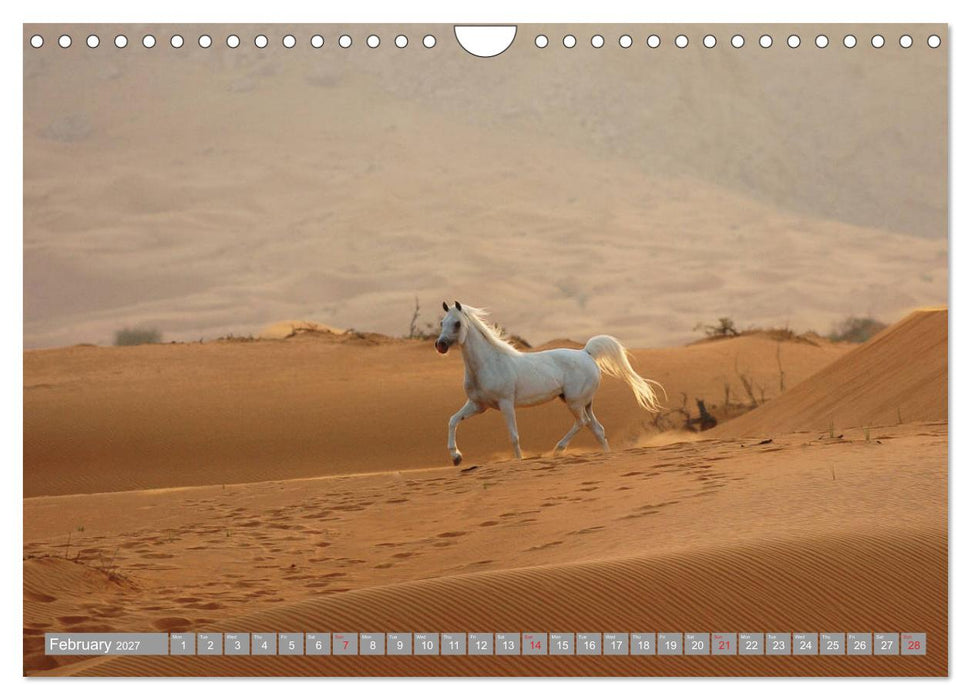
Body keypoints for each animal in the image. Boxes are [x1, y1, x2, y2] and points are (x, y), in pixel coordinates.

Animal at [434, 301, 665, 465]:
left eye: (457, 323)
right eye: (442, 323)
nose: (440, 345)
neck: (488, 363)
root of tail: (586, 353)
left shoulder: (506, 403)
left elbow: (513, 436)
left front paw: (519, 461)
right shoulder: (478, 405)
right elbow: (452, 420)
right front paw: (456, 457)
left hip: (574, 402)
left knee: (582, 422)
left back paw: (557, 450)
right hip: (584, 403)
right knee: (596, 428)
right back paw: (605, 454)